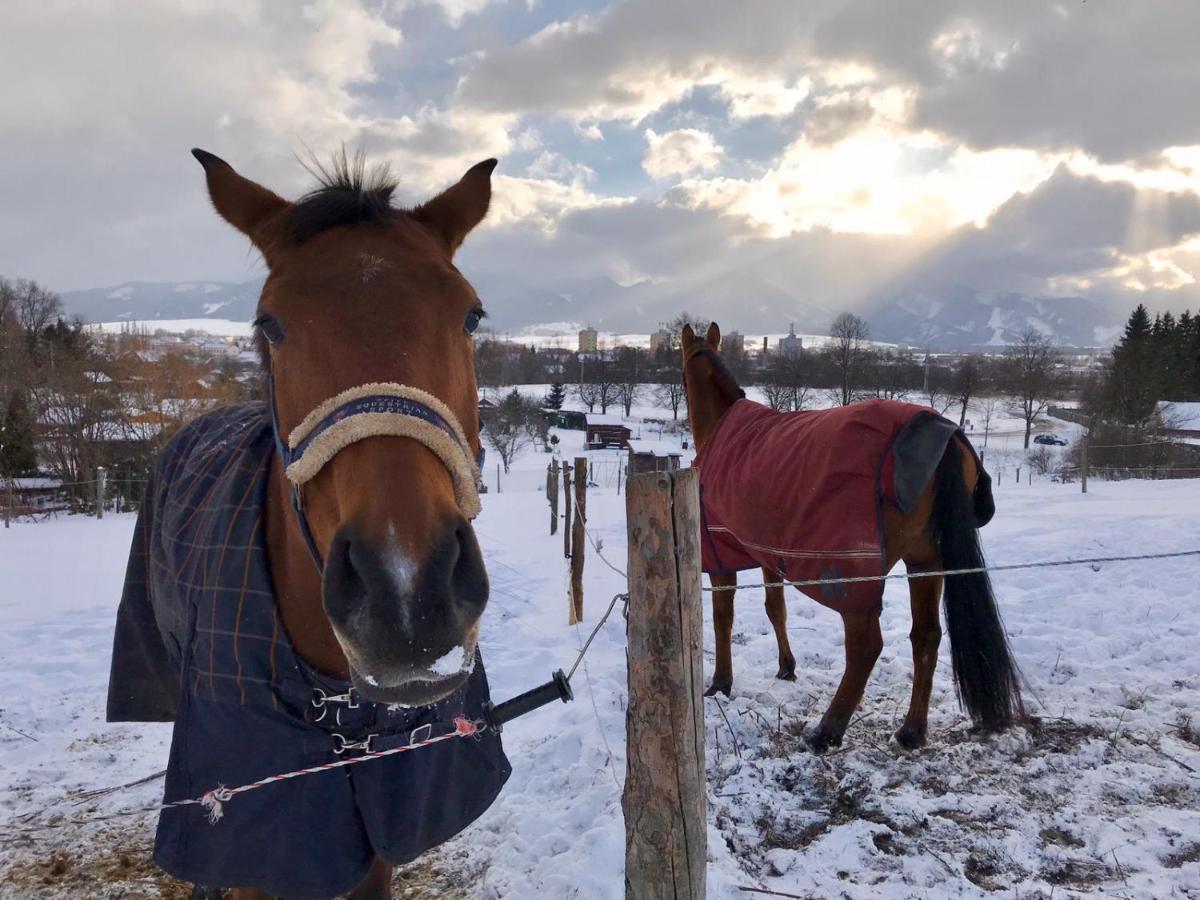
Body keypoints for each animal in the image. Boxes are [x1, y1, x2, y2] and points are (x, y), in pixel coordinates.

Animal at [686, 324, 1022, 753]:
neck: (723, 430)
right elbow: (776, 608)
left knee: (866, 647)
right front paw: (786, 667)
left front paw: (720, 683)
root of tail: (942, 434)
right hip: (925, 562)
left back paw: (827, 731)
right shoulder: (767, 553)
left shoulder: (721, 557)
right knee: (926, 636)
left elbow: (722, 618)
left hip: (855, 580)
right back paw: (911, 731)